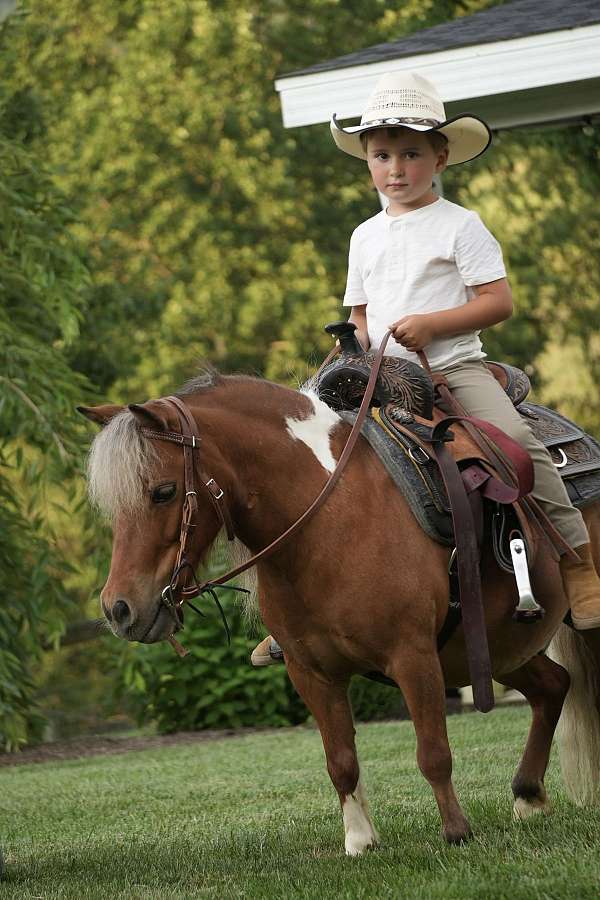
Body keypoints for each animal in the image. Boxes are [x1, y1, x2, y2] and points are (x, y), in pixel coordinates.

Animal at [79, 369, 600, 856]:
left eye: (163, 492)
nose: (118, 608)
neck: (330, 519)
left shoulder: (413, 657)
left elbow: (433, 751)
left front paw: (456, 831)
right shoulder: (310, 672)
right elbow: (340, 761)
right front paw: (359, 840)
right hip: (496, 646)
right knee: (554, 686)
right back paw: (528, 795)